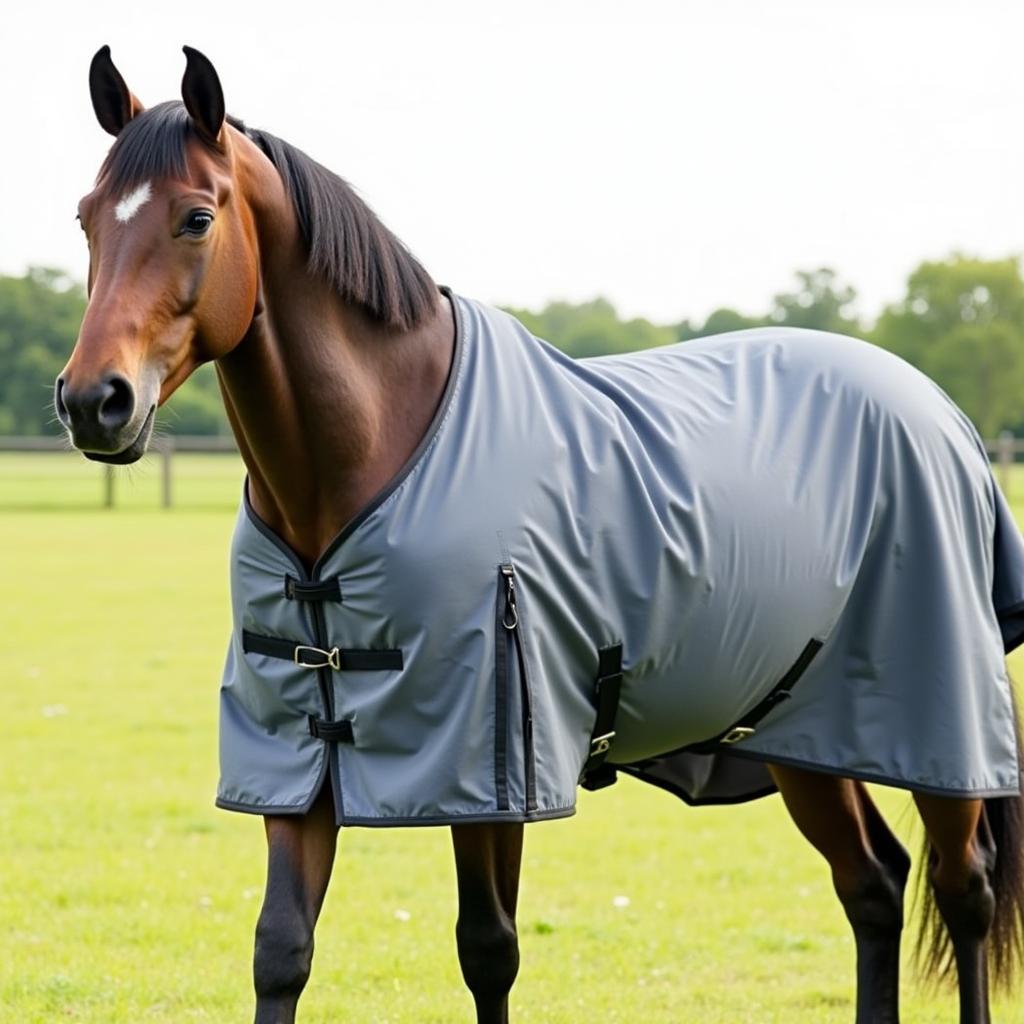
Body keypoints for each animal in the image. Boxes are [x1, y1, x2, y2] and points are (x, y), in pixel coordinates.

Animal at [58, 46, 1024, 1024]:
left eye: (196, 217)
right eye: (87, 218)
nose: (94, 401)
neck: (372, 457)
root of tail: (940, 410)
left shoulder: (493, 768)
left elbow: (488, 951)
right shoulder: (297, 757)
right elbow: (280, 950)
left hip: (937, 725)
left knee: (964, 886)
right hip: (803, 731)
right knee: (873, 885)